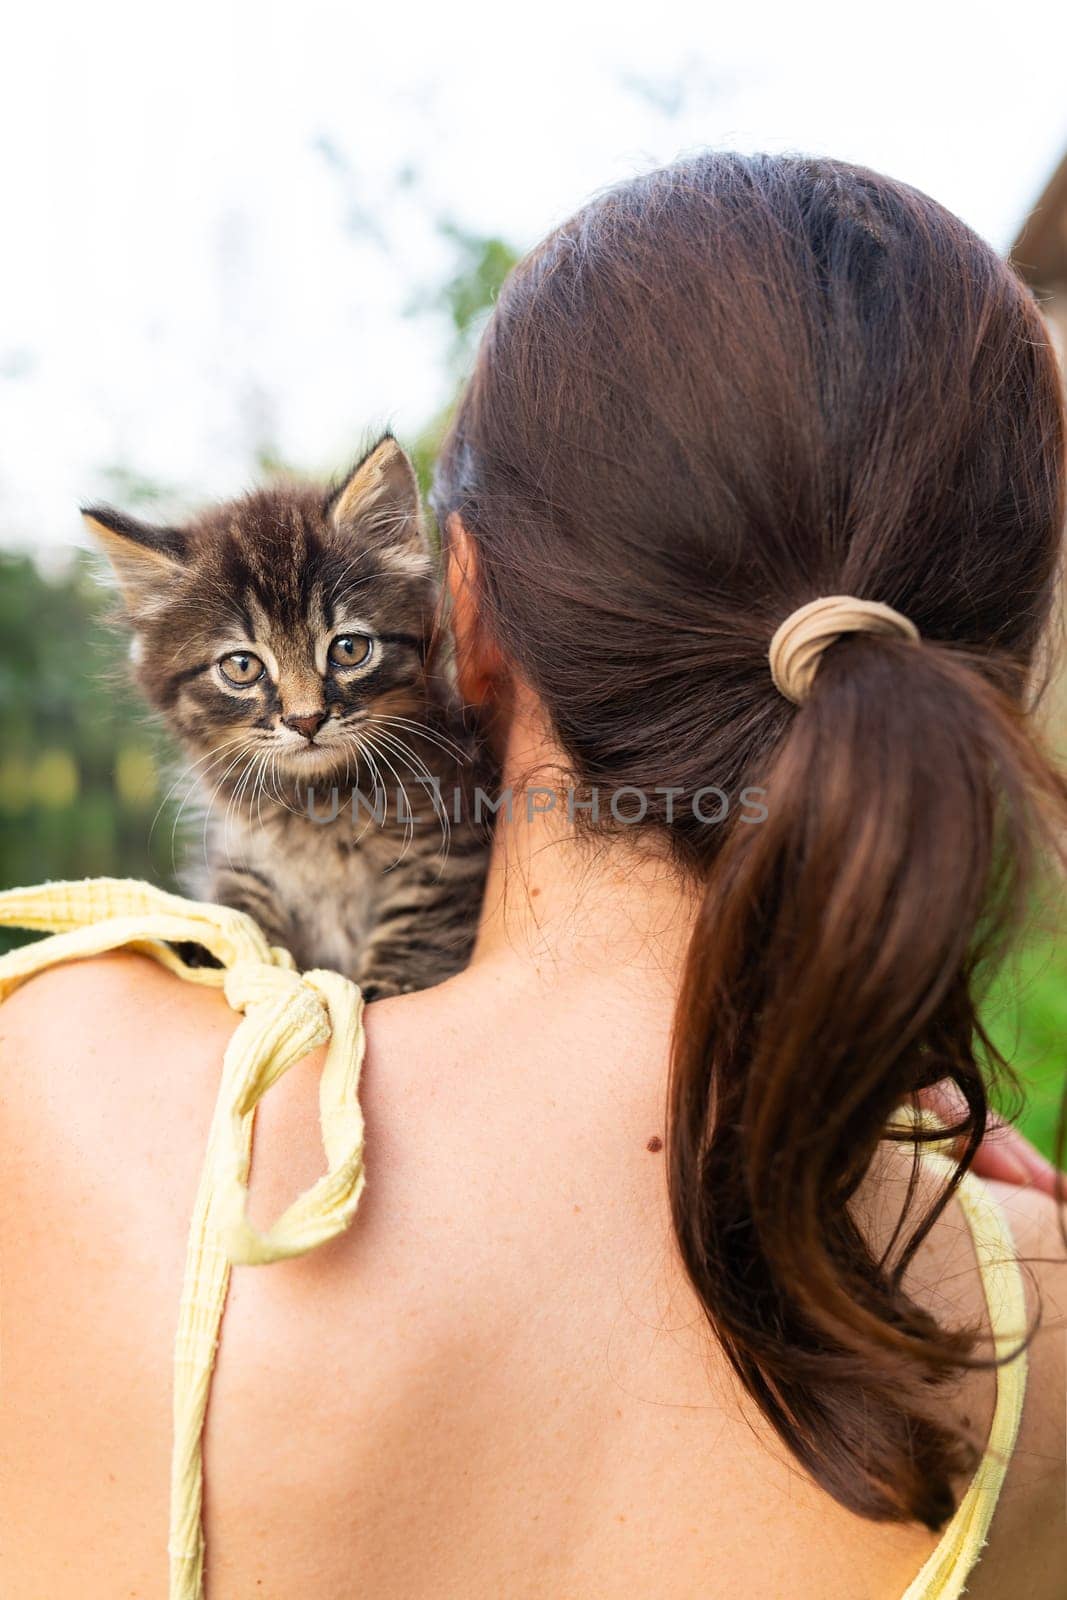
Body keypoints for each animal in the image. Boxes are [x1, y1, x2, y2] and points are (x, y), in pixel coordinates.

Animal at [85, 432, 495, 992]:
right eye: (241, 666)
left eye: (349, 648)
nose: (306, 720)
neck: (319, 806)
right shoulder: (241, 862)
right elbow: (237, 928)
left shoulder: (450, 851)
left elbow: (413, 945)